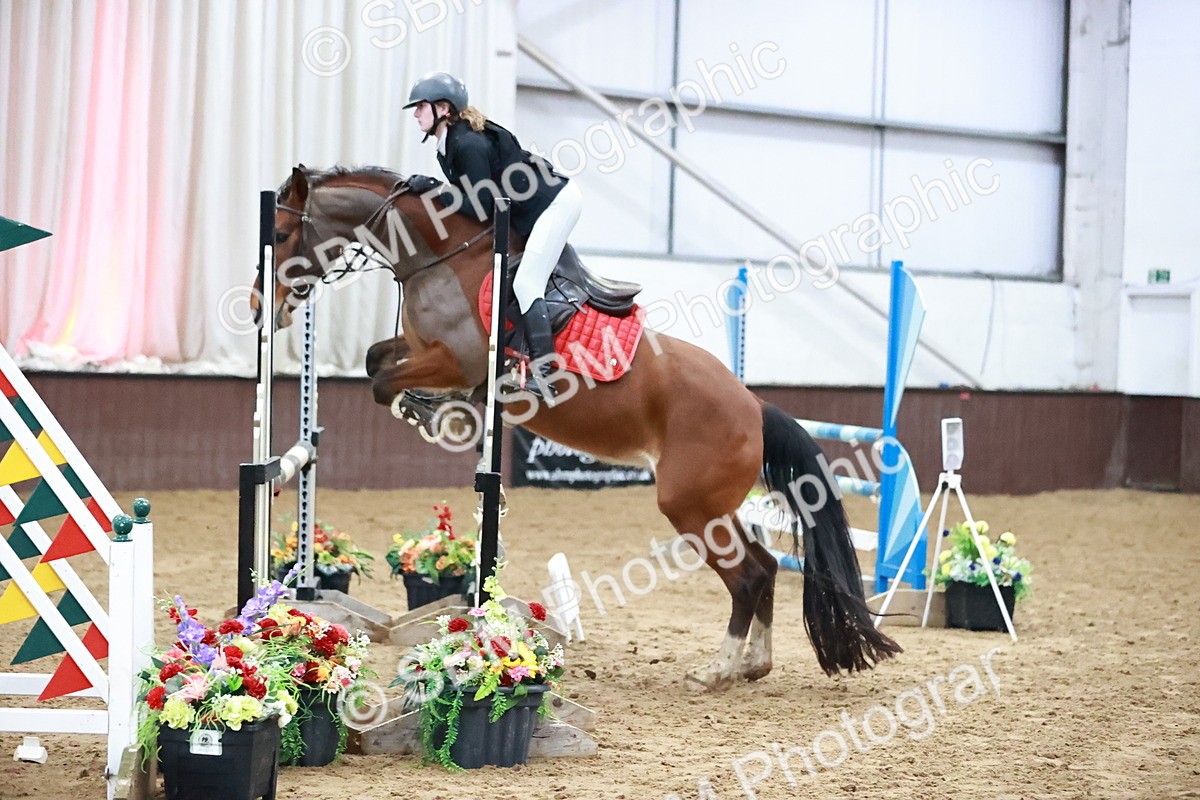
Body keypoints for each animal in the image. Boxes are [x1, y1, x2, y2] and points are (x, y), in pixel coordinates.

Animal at [255, 164, 901, 689]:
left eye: (281, 236)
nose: (265, 310)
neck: (440, 254)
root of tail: (752, 405)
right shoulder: (421, 350)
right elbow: (375, 362)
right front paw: (435, 409)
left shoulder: (456, 358)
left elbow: (386, 382)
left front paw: (443, 414)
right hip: (714, 505)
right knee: (765, 567)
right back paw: (754, 665)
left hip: (689, 504)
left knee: (745, 576)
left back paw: (717, 670)